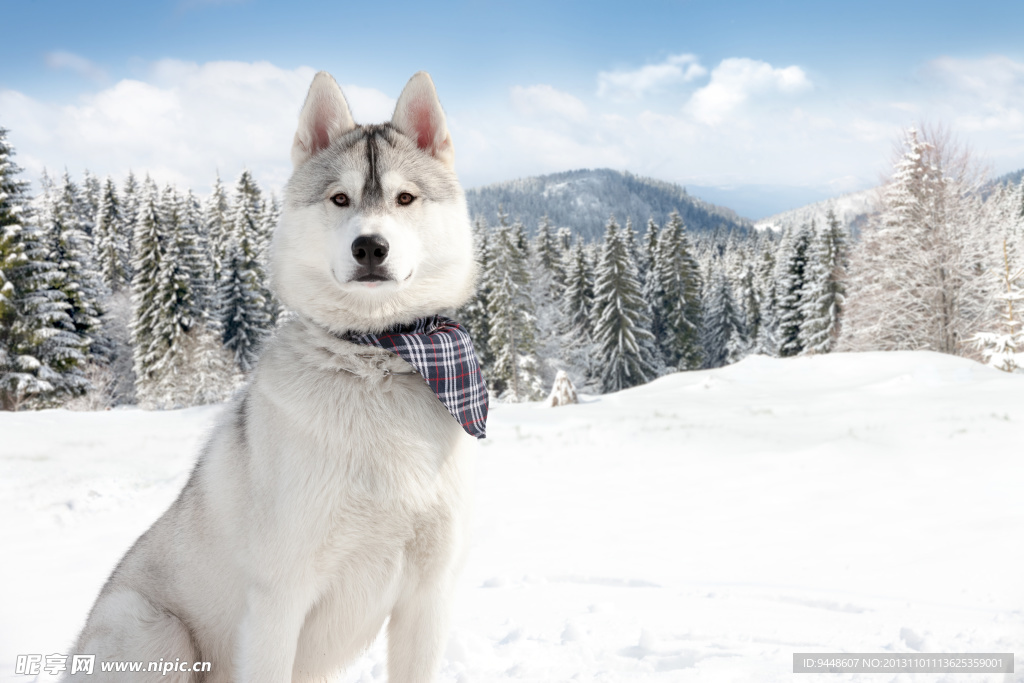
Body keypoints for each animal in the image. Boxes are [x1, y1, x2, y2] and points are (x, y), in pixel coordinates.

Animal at [72, 70, 479, 683]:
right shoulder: (278, 600)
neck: (375, 361)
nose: (370, 246)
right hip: (155, 630)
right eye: (340, 198)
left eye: (406, 198)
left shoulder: (427, 598)